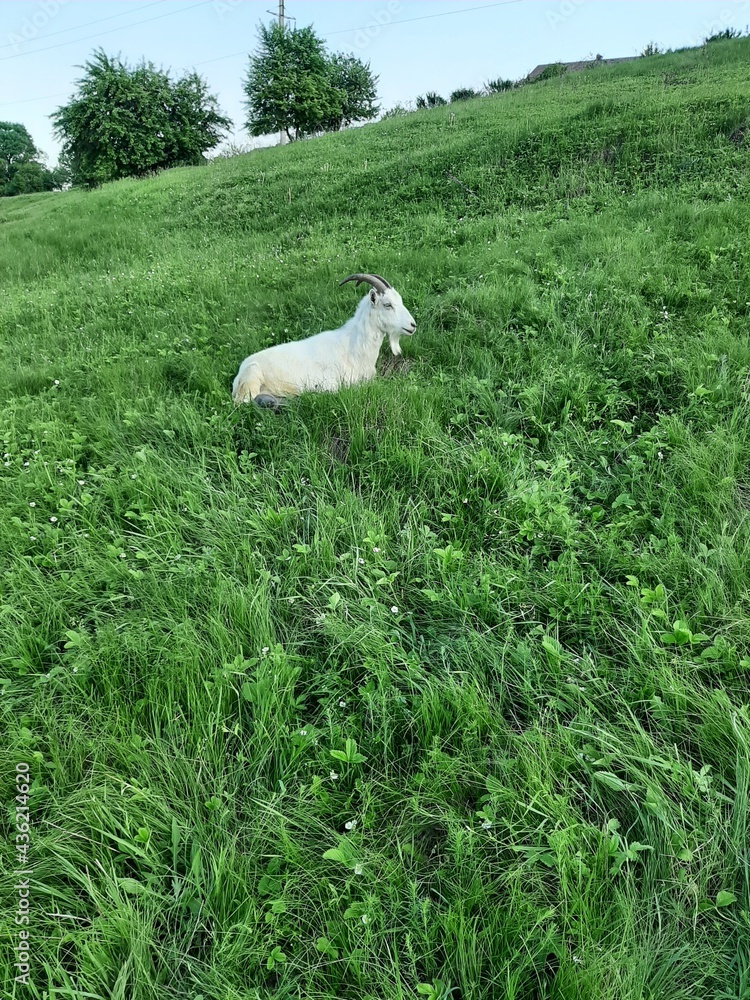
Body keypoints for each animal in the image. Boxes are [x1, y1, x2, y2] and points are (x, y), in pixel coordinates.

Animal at [232, 274, 416, 407]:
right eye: (387, 304)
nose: (412, 325)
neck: (353, 347)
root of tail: (238, 376)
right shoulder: (333, 384)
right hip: (252, 379)